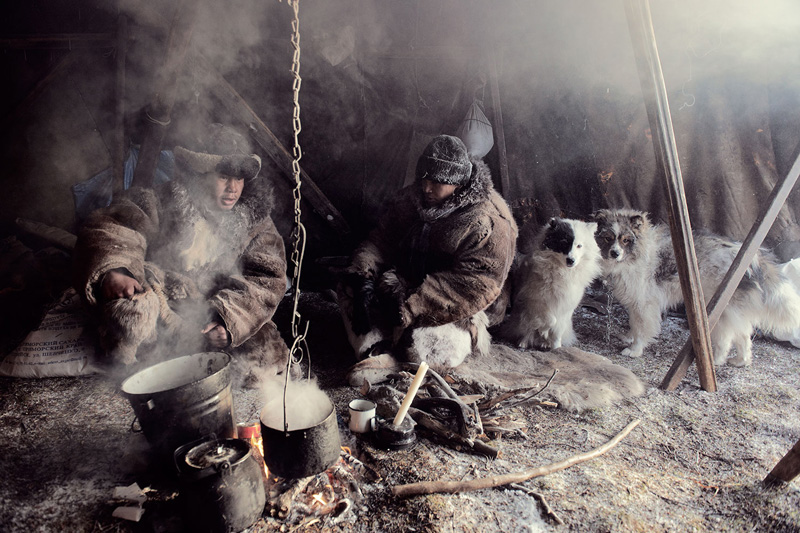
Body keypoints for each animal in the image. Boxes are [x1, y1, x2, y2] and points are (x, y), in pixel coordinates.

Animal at [500, 216, 600, 350]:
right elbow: (549, 320)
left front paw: (555, 345)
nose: (571, 260)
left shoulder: (565, 306)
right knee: (526, 329)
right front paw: (544, 330)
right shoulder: (536, 300)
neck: (563, 271)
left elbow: (557, 327)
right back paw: (524, 342)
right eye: (564, 242)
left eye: (579, 246)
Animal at [592, 206, 800, 364]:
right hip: (732, 311)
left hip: (719, 310)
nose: (614, 253)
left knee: (726, 339)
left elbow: (643, 327)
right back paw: (740, 361)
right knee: (743, 335)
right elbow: (634, 323)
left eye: (626, 240)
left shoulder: (645, 303)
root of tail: (750, 258)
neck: (638, 253)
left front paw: (635, 349)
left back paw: (717, 360)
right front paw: (630, 337)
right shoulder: (636, 302)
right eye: (608, 238)